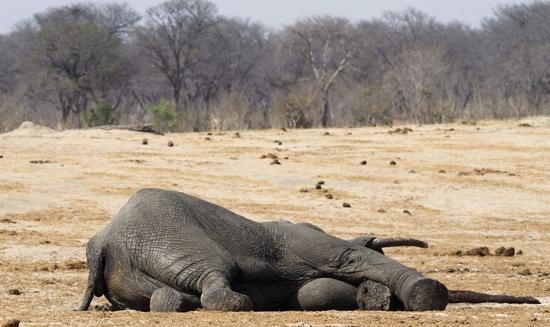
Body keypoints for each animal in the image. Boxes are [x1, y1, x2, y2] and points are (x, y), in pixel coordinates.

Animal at [80, 191, 540, 314]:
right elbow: (345, 259)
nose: (534, 301)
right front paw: (417, 296)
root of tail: (103, 242)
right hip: (169, 231)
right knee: (216, 278)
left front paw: (375, 300)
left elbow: (314, 293)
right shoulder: (299, 240)